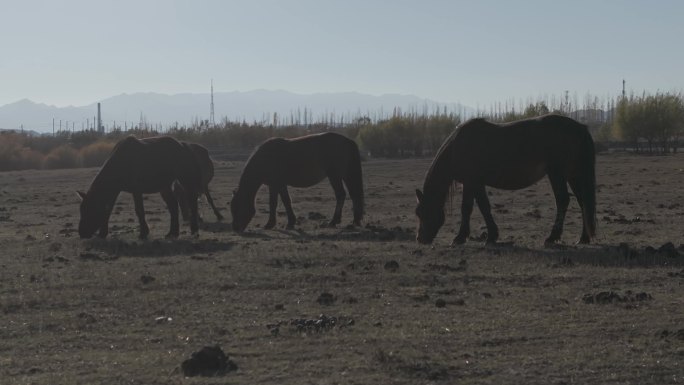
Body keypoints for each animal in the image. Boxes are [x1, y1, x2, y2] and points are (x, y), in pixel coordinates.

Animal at [230, 132, 366, 231]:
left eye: (236, 207)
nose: (236, 228)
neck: (266, 158)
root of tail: (347, 141)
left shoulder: (277, 184)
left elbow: (280, 202)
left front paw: (280, 223)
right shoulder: (277, 185)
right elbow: (279, 202)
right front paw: (280, 223)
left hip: (335, 176)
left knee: (341, 195)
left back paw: (333, 221)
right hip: (345, 175)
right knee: (354, 195)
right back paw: (354, 221)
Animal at [414, 114, 596, 246]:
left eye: (422, 212)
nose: (420, 239)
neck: (457, 148)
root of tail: (580, 128)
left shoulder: (471, 181)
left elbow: (467, 208)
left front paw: (460, 237)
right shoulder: (476, 183)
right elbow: (483, 206)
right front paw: (491, 236)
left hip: (557, 174)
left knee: (563, 200)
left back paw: (552, 237)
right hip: (573, 175)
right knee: (583, 202)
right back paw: (583, 238)